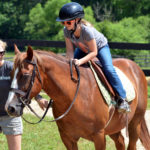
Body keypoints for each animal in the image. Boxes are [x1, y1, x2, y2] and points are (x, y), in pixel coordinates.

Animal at [4, 46, 150, 150]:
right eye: (10, 74)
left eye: (25, 75)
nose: (10, 108)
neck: (75, 96)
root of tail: (135, 66)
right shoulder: (68, 138)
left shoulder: (99, 136)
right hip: (114, 126)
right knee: (120, 142)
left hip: (135, 123)